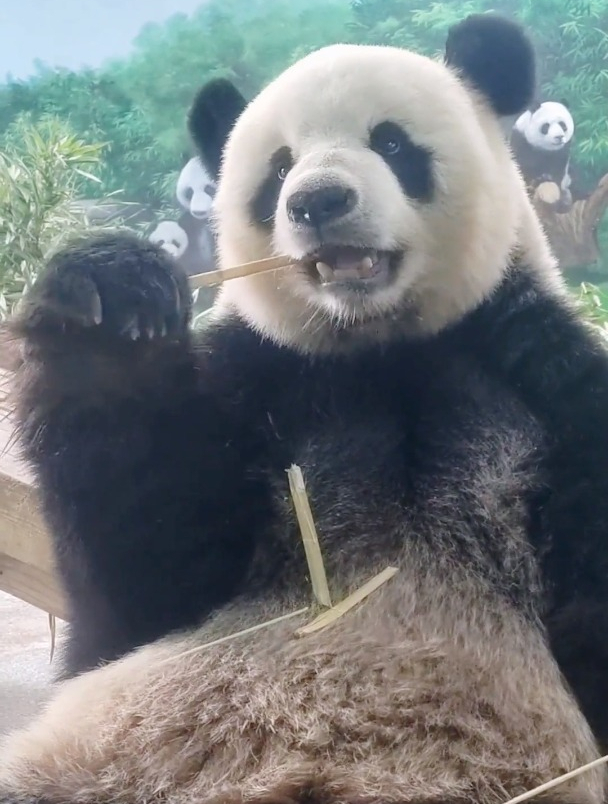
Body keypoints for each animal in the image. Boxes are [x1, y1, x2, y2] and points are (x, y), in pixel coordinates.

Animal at [1, 11, 608, 804]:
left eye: (391, 143)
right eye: (280, 169)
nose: (316, 202)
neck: (379, 348)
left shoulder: (541, 375)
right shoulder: (259, 381)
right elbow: (143, 578)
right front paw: (114, 303)